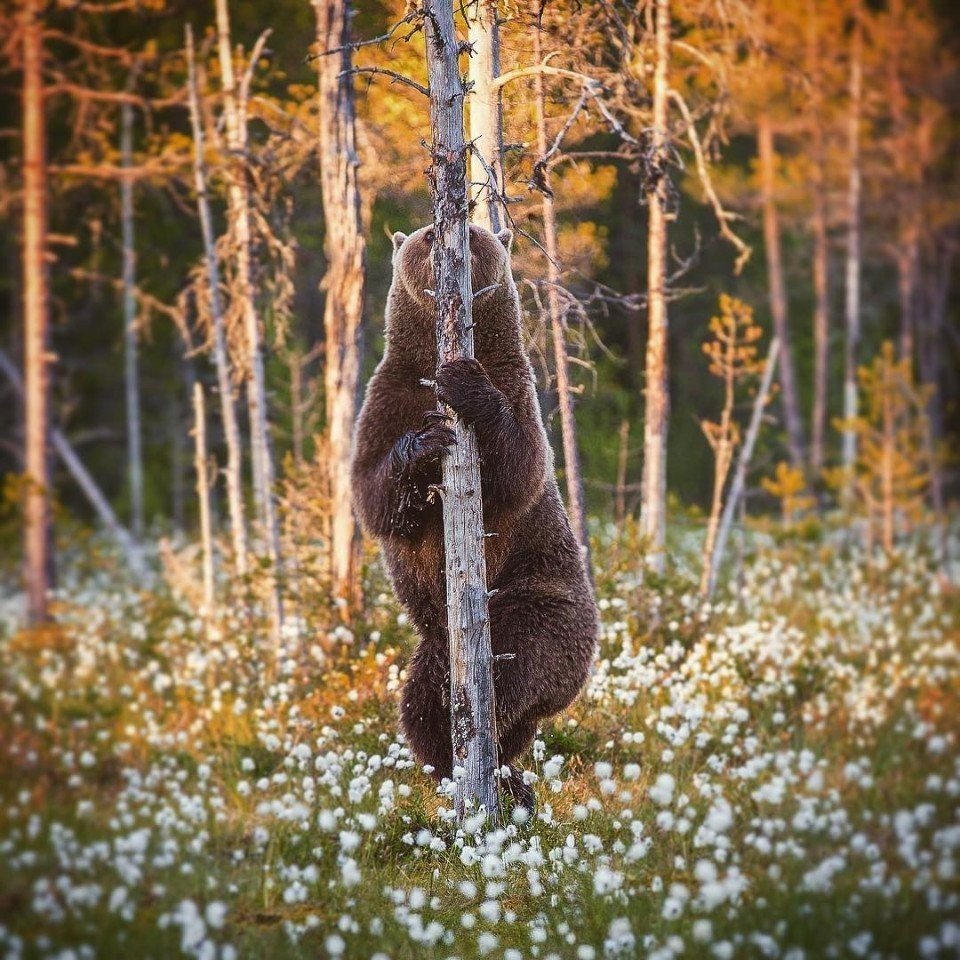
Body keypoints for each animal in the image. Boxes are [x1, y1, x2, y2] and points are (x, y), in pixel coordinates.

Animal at [350, 223, 598, 809]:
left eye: (478, 235)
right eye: (424, 237)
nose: (448, 244)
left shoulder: (516, 385)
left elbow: (520, 467)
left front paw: (464, 383)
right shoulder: (389, 394)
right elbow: (373, 491)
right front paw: (424, 444)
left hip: (541, 605)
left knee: (516, 666)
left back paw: (496, 765)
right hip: (436, 644)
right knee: (419, 704)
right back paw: (461, 767)